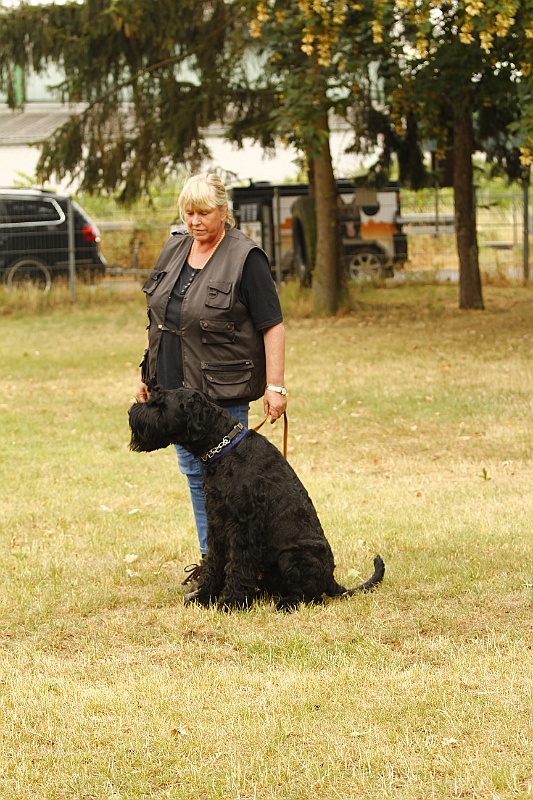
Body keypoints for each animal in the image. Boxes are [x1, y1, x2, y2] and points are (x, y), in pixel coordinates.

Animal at [129, 387, 385, 610]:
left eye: (159, 404)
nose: (131, 412)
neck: (225, 448)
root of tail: (331, 578)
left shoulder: (243, 525)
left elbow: (238, 564)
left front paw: (231, 603)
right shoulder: (216, 522)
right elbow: (214, 562)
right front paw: (204, 596)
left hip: (292, 557)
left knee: (310, 595)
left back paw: (286, 604)